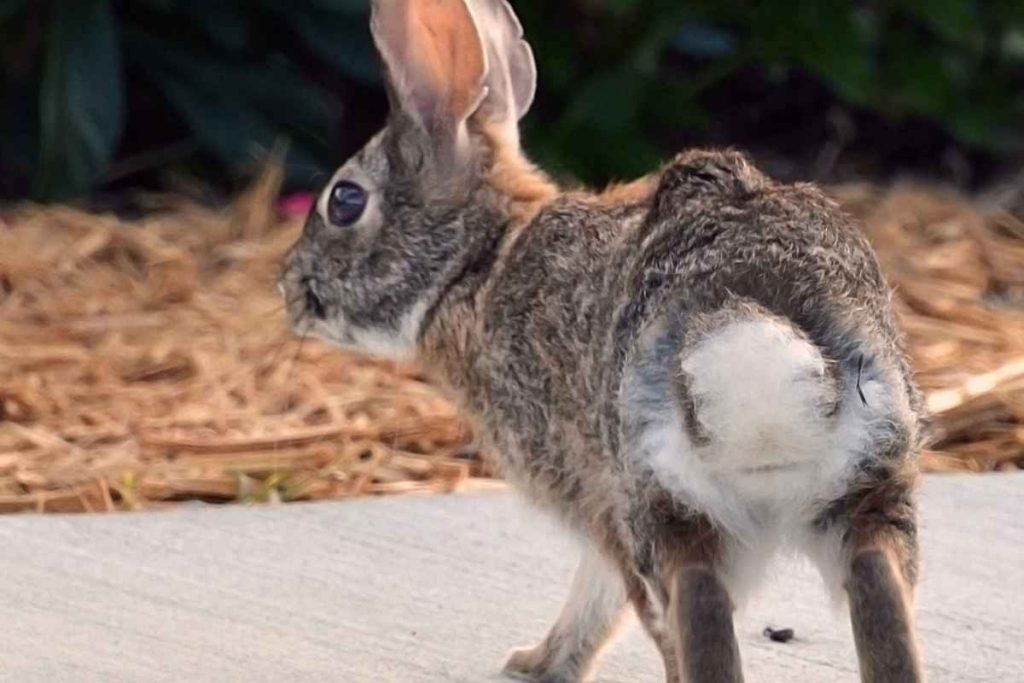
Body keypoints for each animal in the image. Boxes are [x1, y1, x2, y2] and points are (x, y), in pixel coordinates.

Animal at [279, 1, 926, 681]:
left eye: (345, 201)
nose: (289, 289)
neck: (479, 263)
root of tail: (747, 336)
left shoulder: (588, 490)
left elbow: (601, 593)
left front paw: (540, 663)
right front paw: (535, 661)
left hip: (664, 498)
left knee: (692, 612)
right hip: (868, 482)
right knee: (878, 585)